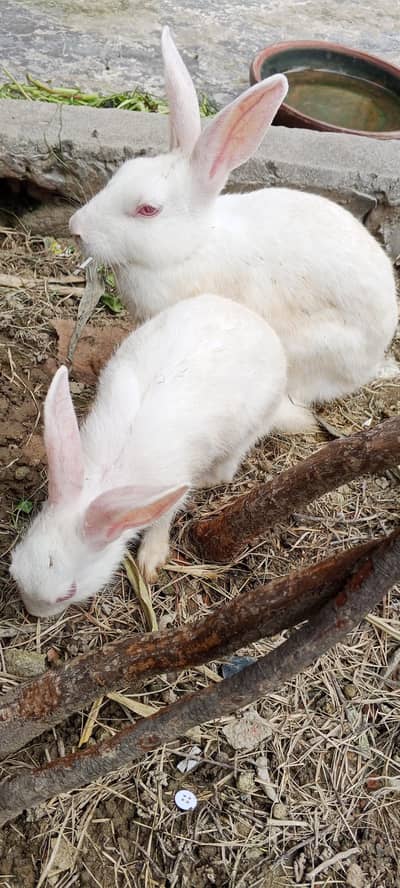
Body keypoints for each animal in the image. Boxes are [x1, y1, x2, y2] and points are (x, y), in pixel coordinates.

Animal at [10, 293, 313, 618]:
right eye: (15, 566)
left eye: (70, 591)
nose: (34, 612)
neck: (105, 480)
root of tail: (256, 321)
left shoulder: (169, 490)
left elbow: (163, 518)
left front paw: (150, 559)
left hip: (246, 431)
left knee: (226, 470)